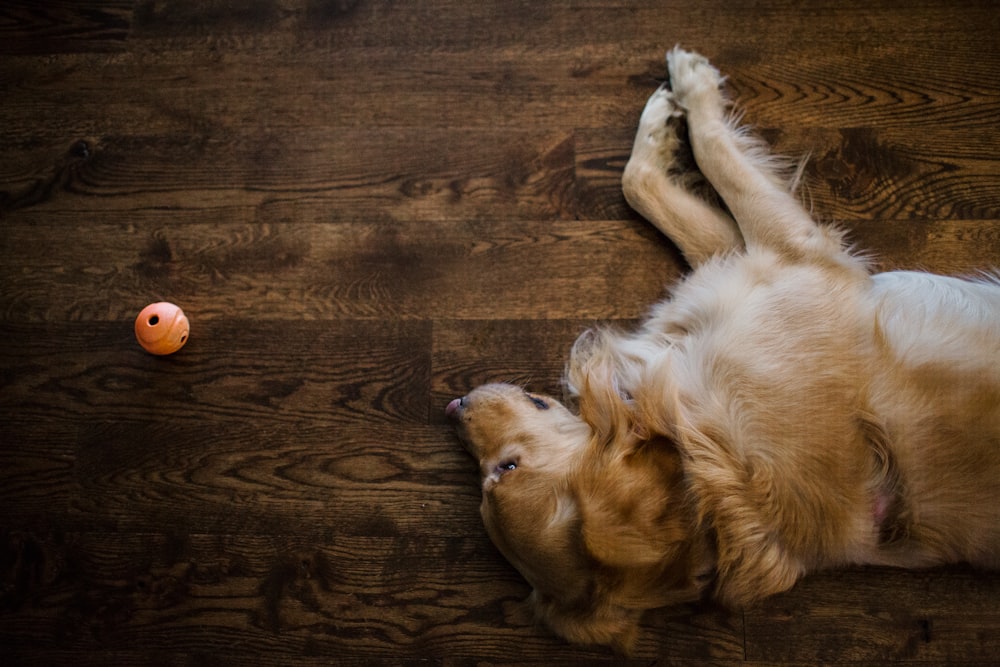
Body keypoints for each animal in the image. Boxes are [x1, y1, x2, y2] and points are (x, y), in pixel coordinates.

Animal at [446, 48, 1000, 652]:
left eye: (508, 468)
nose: (453, 407)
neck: (710, 453)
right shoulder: (790, 254)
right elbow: (715, 154)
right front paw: (693, 91)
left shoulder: (744, 266)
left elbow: (644, 182)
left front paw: (666, 116)